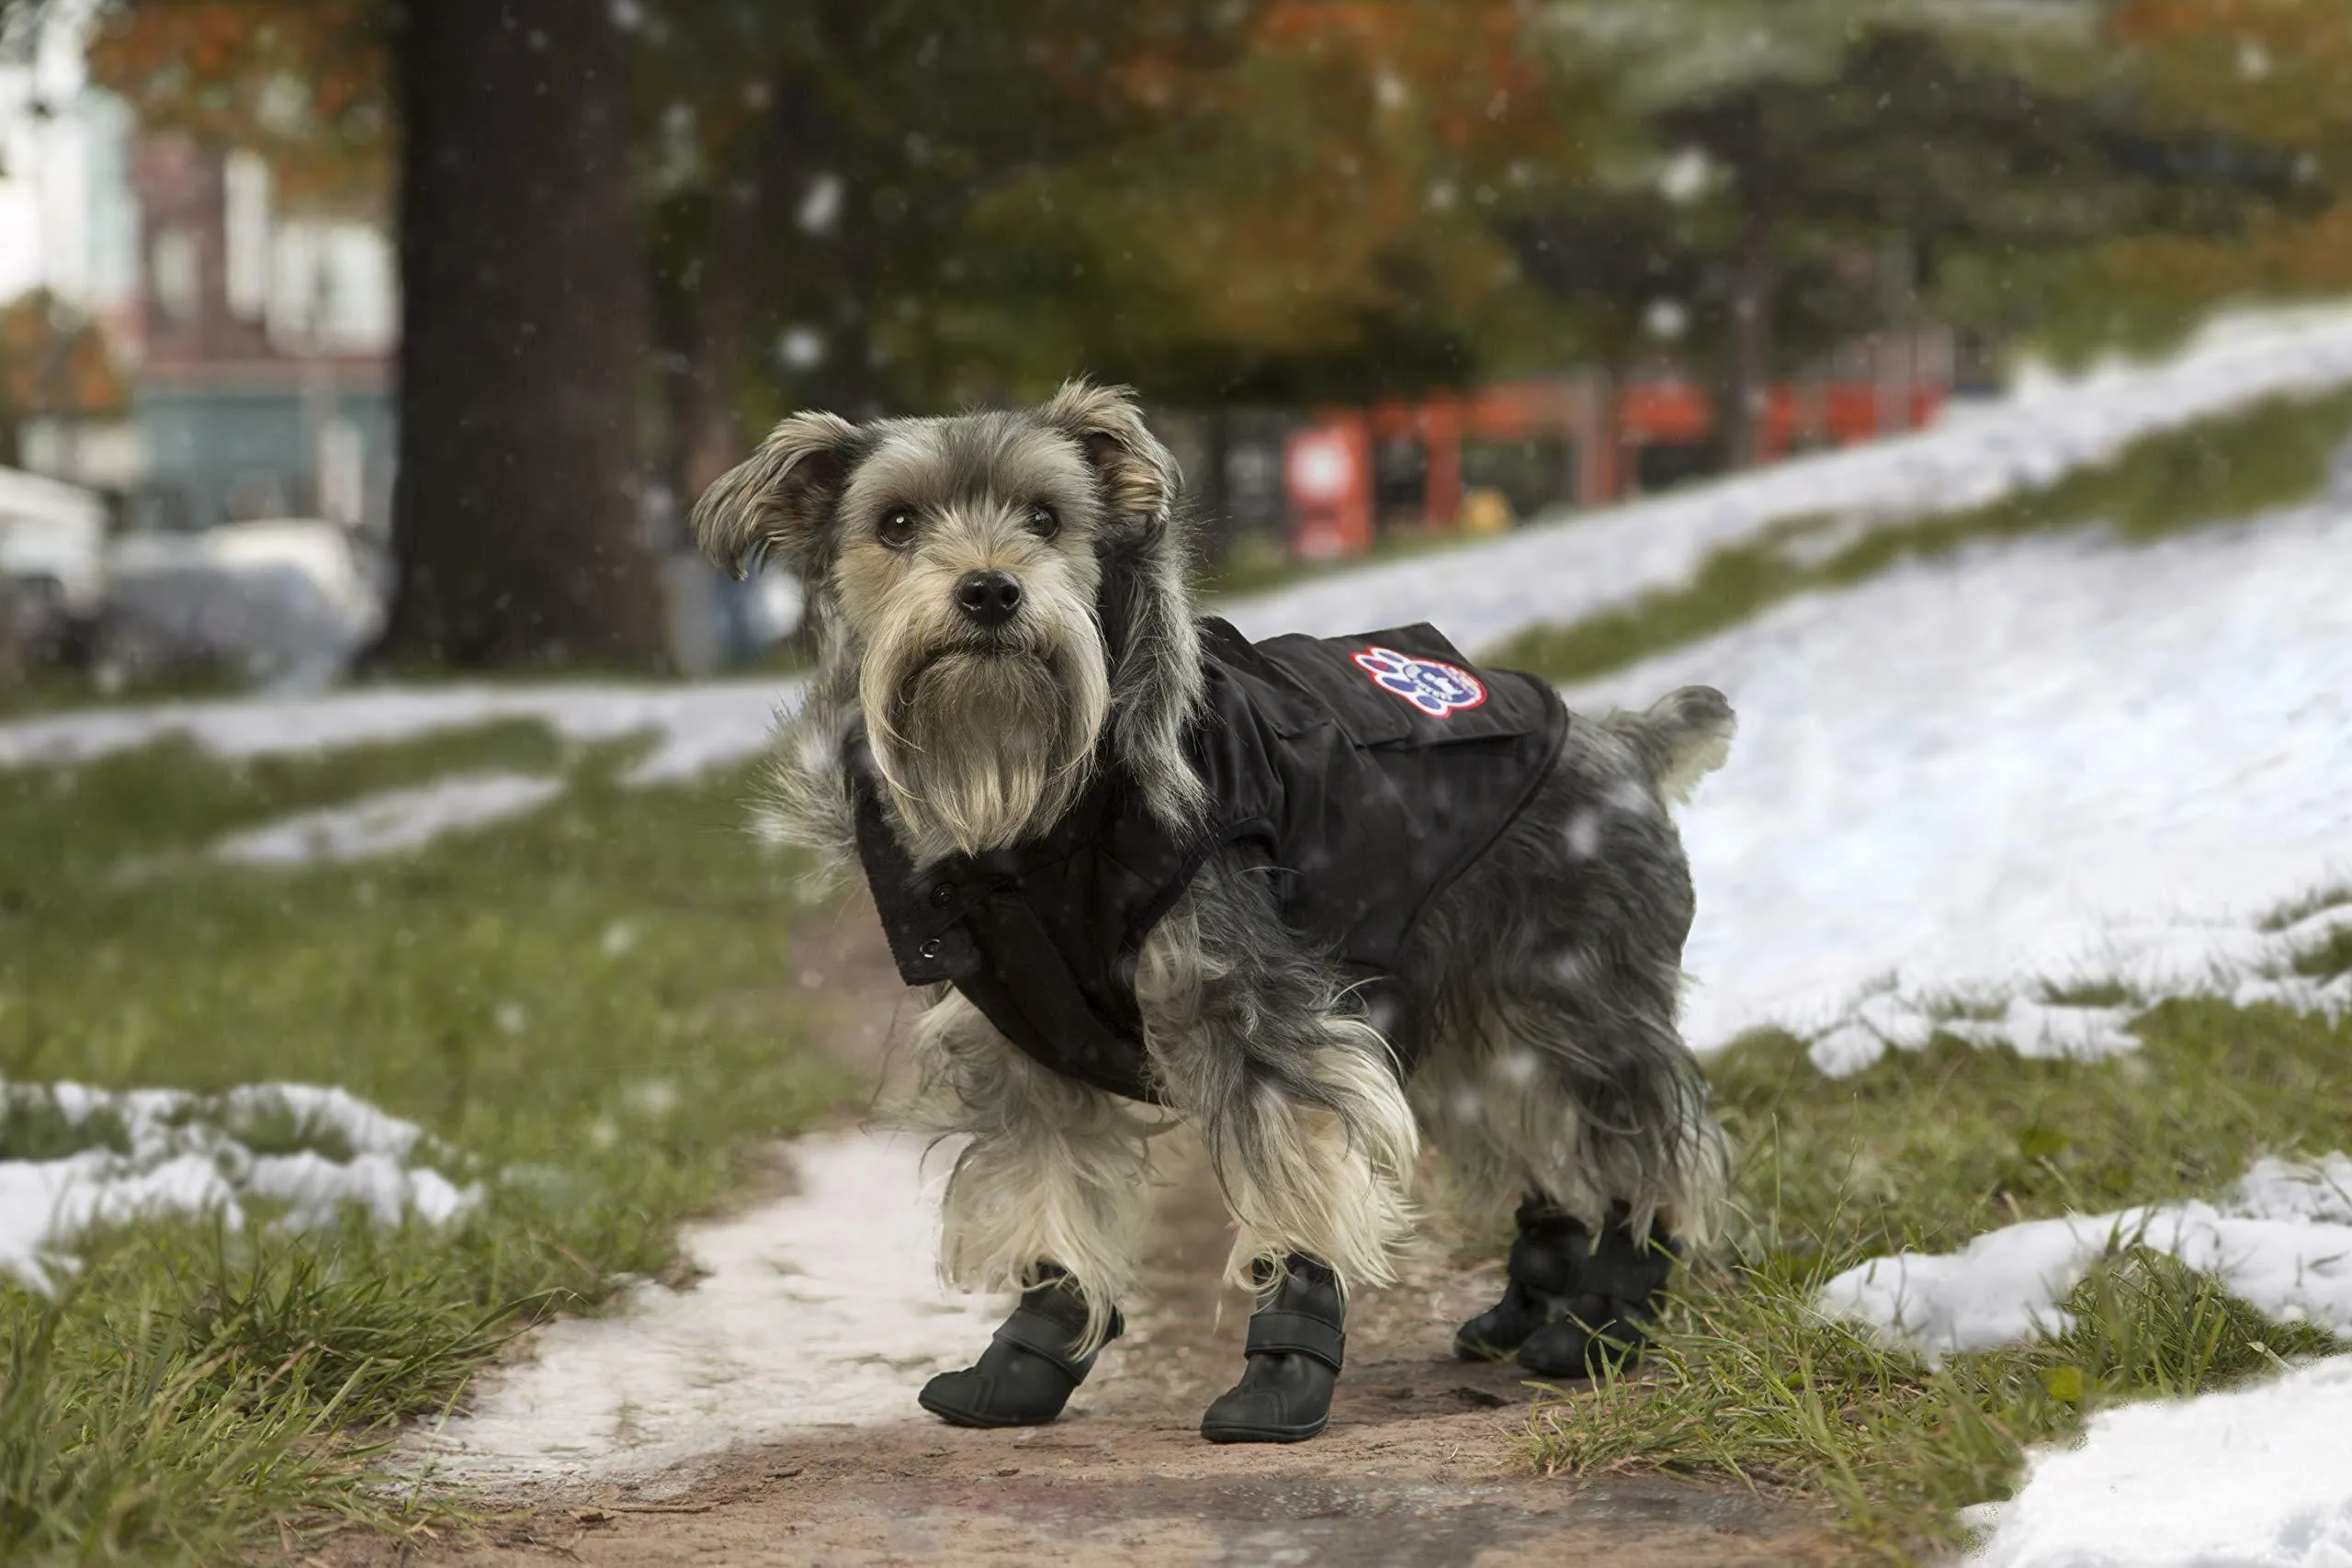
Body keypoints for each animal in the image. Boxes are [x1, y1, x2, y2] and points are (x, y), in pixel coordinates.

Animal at [686, 380, 1740, 1448]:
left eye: (1047, 519)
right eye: (895, 525)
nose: (990, 591)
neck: (1030, 808)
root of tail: (1625, 744)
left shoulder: (1256, 1011)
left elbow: (1300, 1175)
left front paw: (1282, 1373)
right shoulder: (1022, 1041)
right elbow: (1048, 1192)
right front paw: (1027, 1359)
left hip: (1580, 998)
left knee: (1647, 1139)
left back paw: (1606, 1319)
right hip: (1469, 1026)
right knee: (1536, 1143)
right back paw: (1524, 1310)